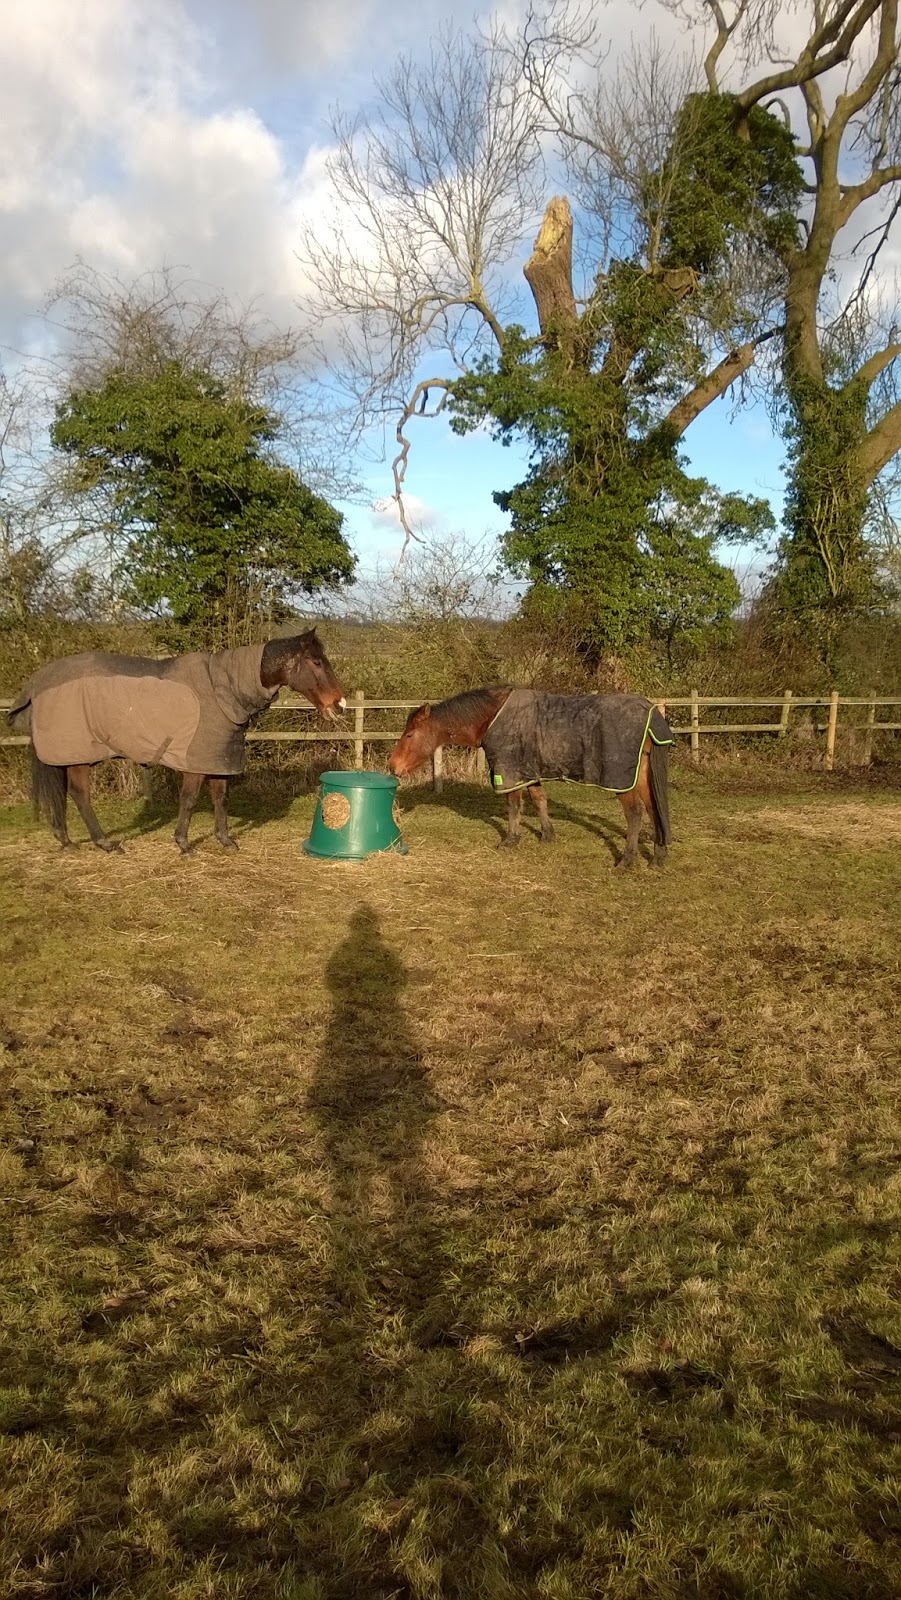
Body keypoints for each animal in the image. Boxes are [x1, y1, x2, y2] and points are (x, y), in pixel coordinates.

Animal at [8, 629, 346, 856]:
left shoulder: (219, 759)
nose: (339, 704)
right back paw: (105, 843)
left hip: (70, 756)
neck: (224, 689)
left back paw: (67, 840)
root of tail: (37, 684)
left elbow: (221, 799)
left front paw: (226, 841)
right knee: (80, 795)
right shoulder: (195, 763)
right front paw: (184, 844)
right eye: (316, 662)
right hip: (78, 756)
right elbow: (190, 800)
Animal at [388, 685, 675, 867]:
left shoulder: (508, 770)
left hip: (622, 779)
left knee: (635, 813)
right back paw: (658, 857)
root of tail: (649, 711)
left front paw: (510, 840)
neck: (492, 717)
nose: (392, 766)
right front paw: (547, 835)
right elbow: (539, 801)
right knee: (654, 808)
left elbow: (514, 806)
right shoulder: (529, 771)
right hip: (642, 775)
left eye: (410, 735)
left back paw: (627, 860)